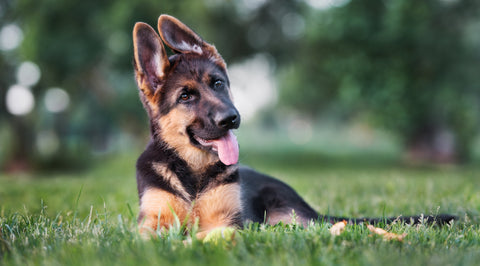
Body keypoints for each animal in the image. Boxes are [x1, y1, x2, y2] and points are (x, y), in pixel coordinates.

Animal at [133, 15, 456, 239]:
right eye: (185, 97)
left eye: (218, 84)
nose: (231, 118)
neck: (193, 174)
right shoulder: (152, 223)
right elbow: (150, 239)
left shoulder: (226, 221)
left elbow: (216, 232)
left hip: (288, 217)